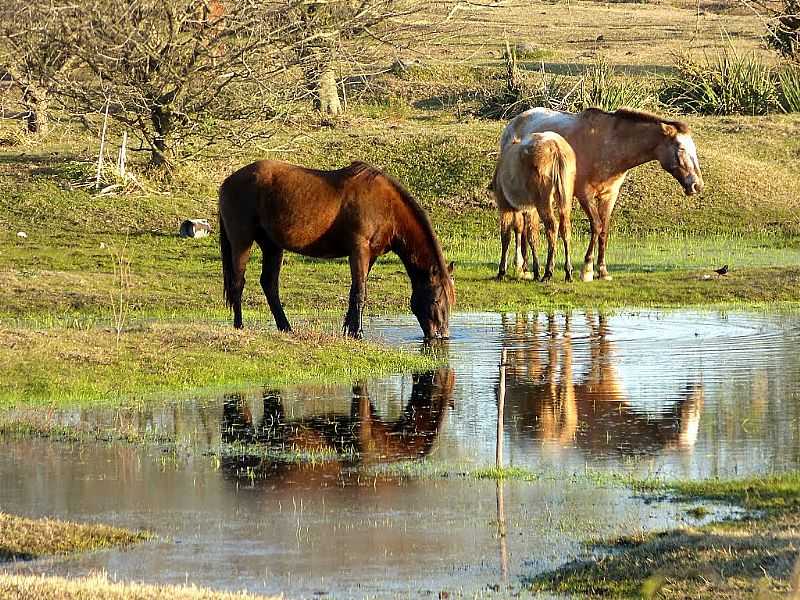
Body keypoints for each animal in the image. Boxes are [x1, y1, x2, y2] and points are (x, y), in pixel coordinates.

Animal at [217, 159, 456, 338]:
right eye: (436, 299)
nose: (441, 335)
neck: (386, 207)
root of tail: (227, 182)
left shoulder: (370, 256)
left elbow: (355, 290)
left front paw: (349, 330)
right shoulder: (359, 250)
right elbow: (360, 292)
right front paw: (358, 333)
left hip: (272, 246)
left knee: (269, 285)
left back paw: (286, 327)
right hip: (242, 242)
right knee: (238, 283)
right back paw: (239, 326)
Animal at [504, 108, 704, 282]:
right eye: (680, 149)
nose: (697, 185)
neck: (608, 145)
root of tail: (513, 123)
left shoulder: (610, 196)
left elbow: (604, 230)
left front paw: (602, 270)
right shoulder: (585, 195)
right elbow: (597, 226)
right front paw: (587, 269)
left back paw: (525, 268)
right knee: (520, 227)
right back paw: (522, 267)